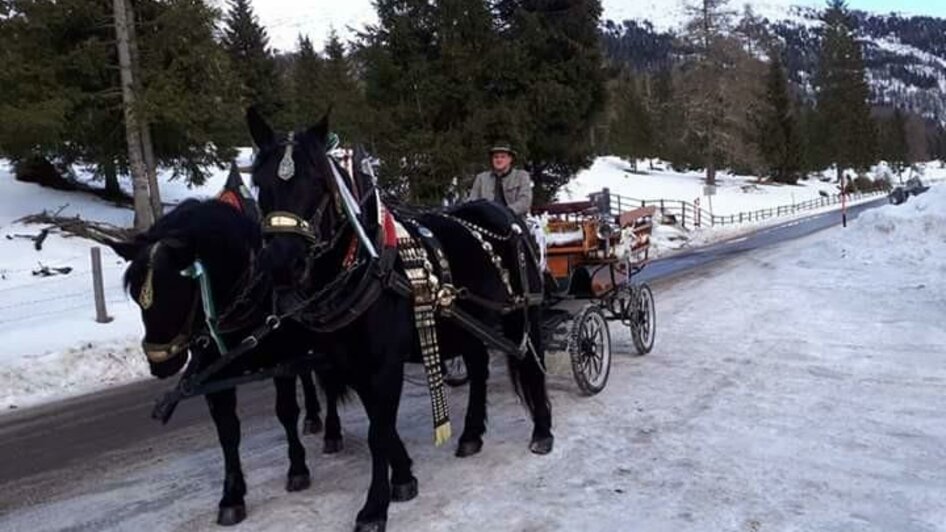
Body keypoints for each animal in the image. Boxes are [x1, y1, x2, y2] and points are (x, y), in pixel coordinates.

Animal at [108, 194, 342, 524]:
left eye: (174, 291)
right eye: (135, 295)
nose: (159, 363)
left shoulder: (280, 361)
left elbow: (285, 412)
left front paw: (297, 469)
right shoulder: (214, 374)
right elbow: (227, 431)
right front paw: (232, 497)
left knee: (330, 382)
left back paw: (332, 431)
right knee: (308, 378)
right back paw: (312, 418)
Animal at [243, 110, 552, 528]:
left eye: (318, 182)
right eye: (259, 183)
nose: (280, 264)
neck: (370, 263)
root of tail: (507, 215)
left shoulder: (385, 363)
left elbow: (379, 430)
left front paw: (375, 507)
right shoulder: (354, 365)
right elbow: (381, 424)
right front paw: (404, 476)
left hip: (524, 313)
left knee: (531, 362)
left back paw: (542, 430)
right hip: (469, 323)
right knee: (479, 367)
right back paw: (471, 434)